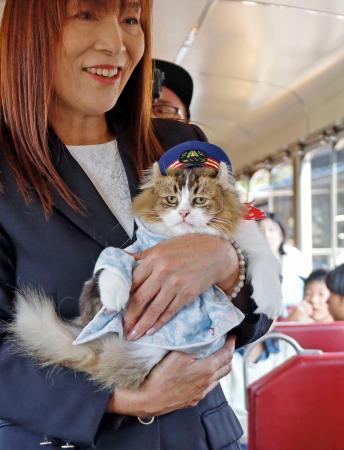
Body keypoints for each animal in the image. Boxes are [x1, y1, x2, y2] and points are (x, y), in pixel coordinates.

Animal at [9, 163, 280, 390]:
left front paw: (269, 304)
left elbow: (267, 266)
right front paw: (114, 299)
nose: (183, 213)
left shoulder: (252, 245)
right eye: (171, 200)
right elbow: (112, 263)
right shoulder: (135, 253)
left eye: (199, 200)